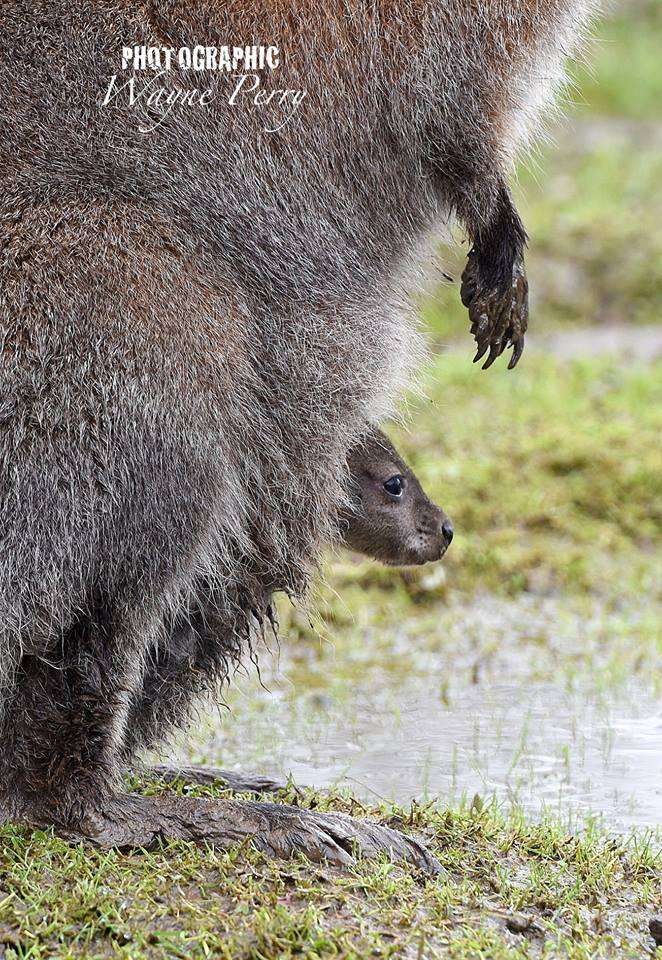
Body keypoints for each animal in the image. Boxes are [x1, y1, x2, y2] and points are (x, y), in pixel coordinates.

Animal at [0, 1, 597, 870]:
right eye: (394, 485)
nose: (446, 531)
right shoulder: (444, 52)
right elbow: (451, 117)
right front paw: (500, 249)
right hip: (128, 308)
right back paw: (180, 813)